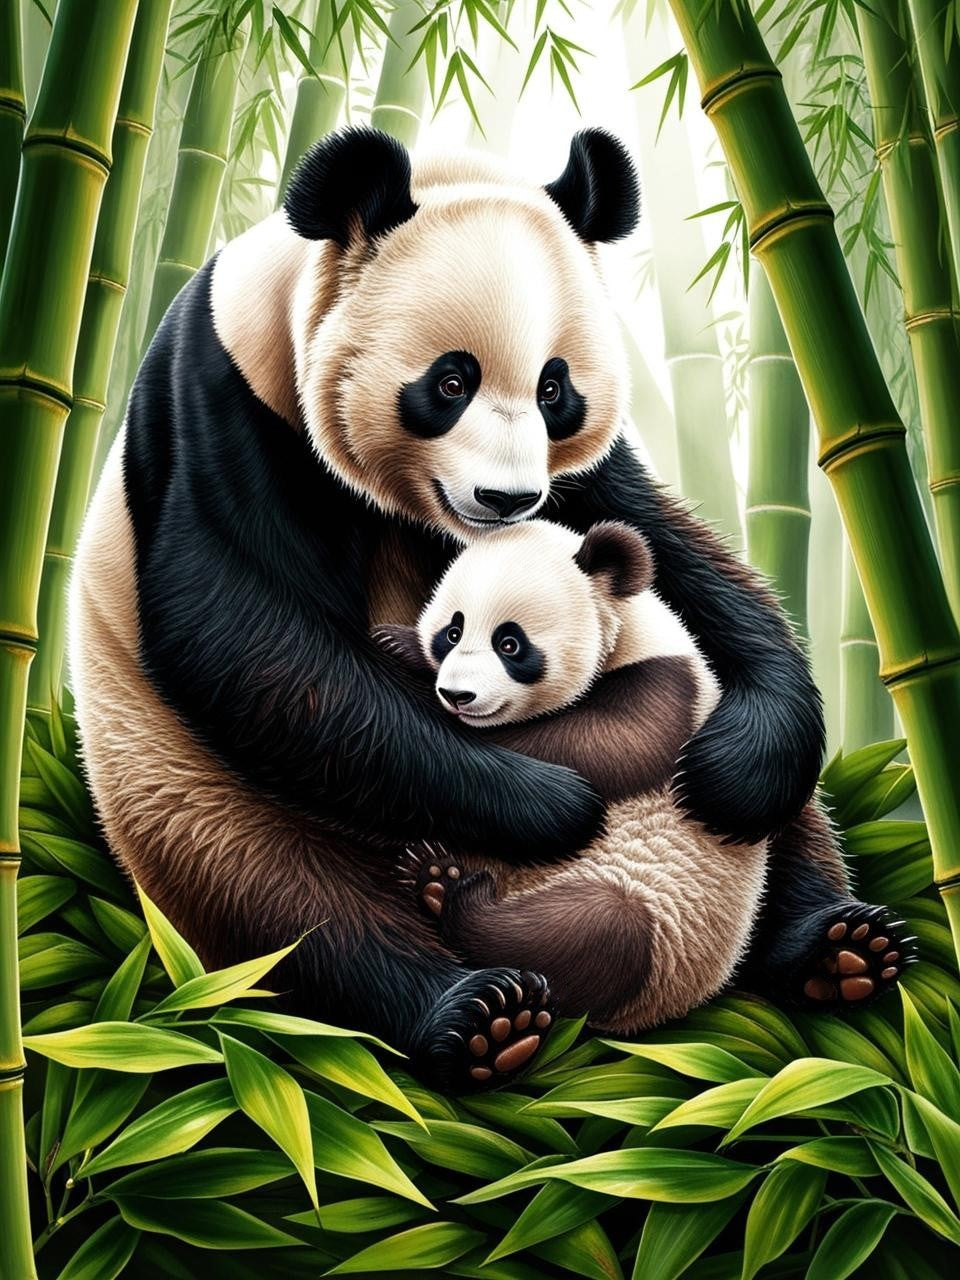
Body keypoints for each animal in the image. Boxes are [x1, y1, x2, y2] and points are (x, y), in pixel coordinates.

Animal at [69, 126, 914, 1093]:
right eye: (450, 382)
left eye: (555, 389)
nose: (508, 499)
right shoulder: (227, 407)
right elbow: (245, 639)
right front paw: (546, 804)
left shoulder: (586, 486)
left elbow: (678, 556)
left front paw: (733, 766)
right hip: (191, 796)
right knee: (291, 909)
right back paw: (472, 1013)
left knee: (796, 824)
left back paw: (836, 947)